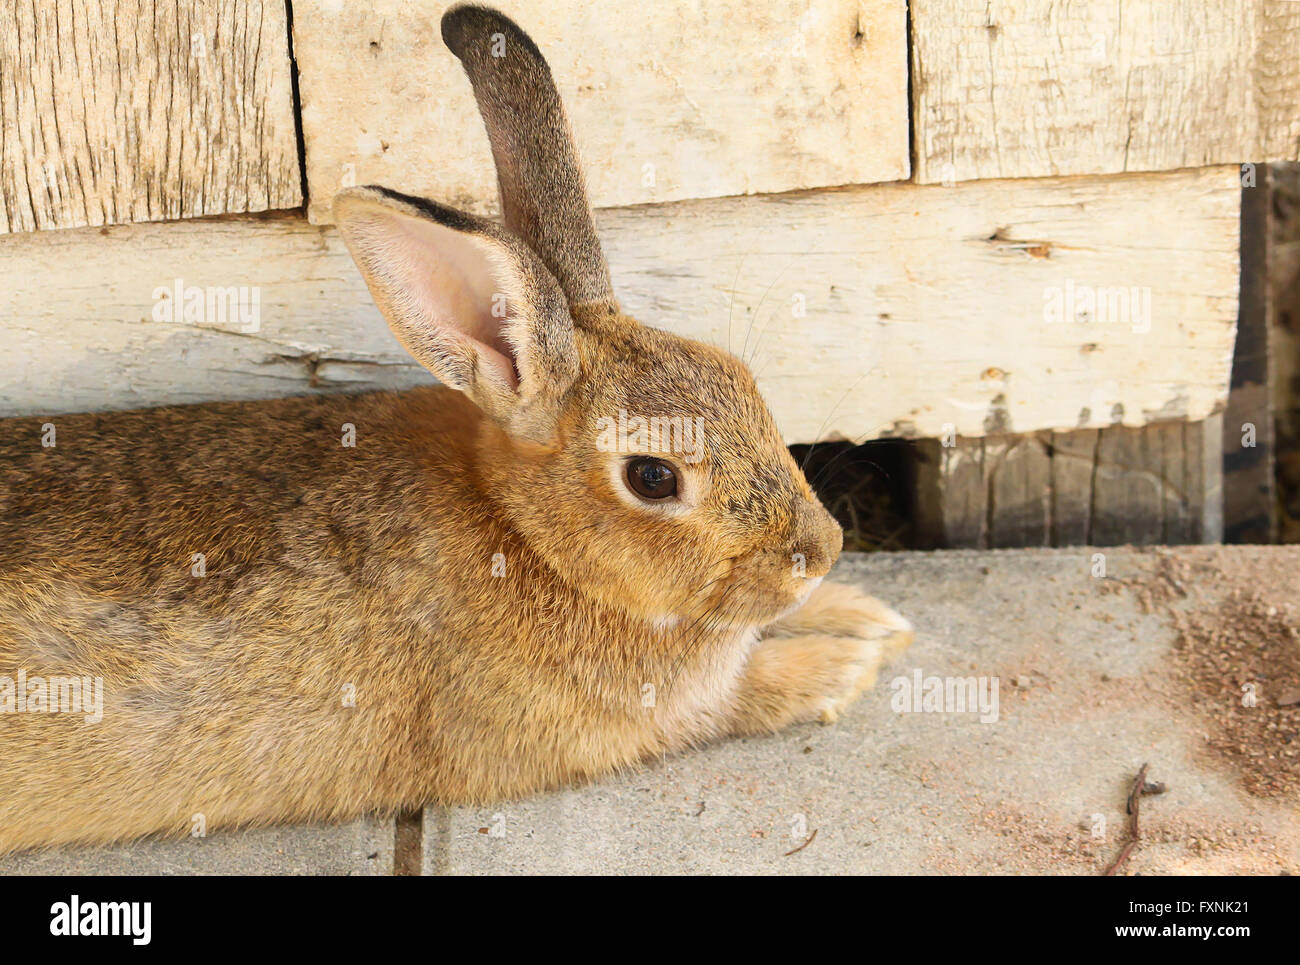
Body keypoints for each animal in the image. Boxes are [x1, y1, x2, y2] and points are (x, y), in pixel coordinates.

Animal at [0, 3, 912, 853]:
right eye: (653, 476)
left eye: (742, 381)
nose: (820, 551)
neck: (528, 535)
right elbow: (745, 693)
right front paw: (850, 659)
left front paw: (868, 612)